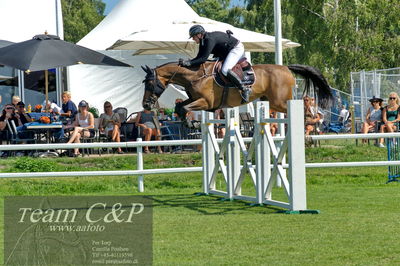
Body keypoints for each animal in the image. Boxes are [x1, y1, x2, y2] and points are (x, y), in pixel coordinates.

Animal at [142, 61, 332, 117]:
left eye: (150, 84)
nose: (145, 105)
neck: (195, 76)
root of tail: (286, 68)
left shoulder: (205, 102)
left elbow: (185, 108)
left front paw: (189, 121)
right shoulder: (195, 99)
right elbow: (180, 106)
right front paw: (187, 121)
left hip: (279, 101)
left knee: (304, 107)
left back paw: (311, 119)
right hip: (269, 101)